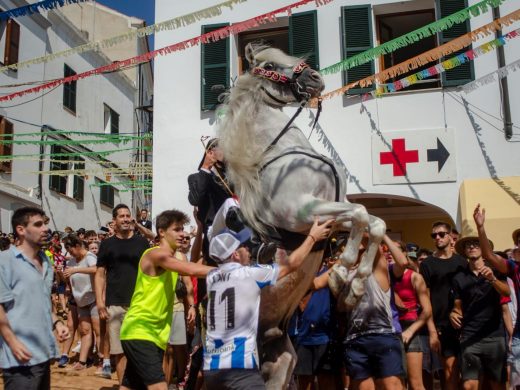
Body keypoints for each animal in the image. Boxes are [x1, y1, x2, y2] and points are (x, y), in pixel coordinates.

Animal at [217, 44, 384, 388]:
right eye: (270, 65)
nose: (315, 78)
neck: (284, 151)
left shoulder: (333, 209)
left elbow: (374, 223)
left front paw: (353, 286)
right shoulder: (300, 211)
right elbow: (362, 214)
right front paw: (342, 271)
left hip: (281, 357)